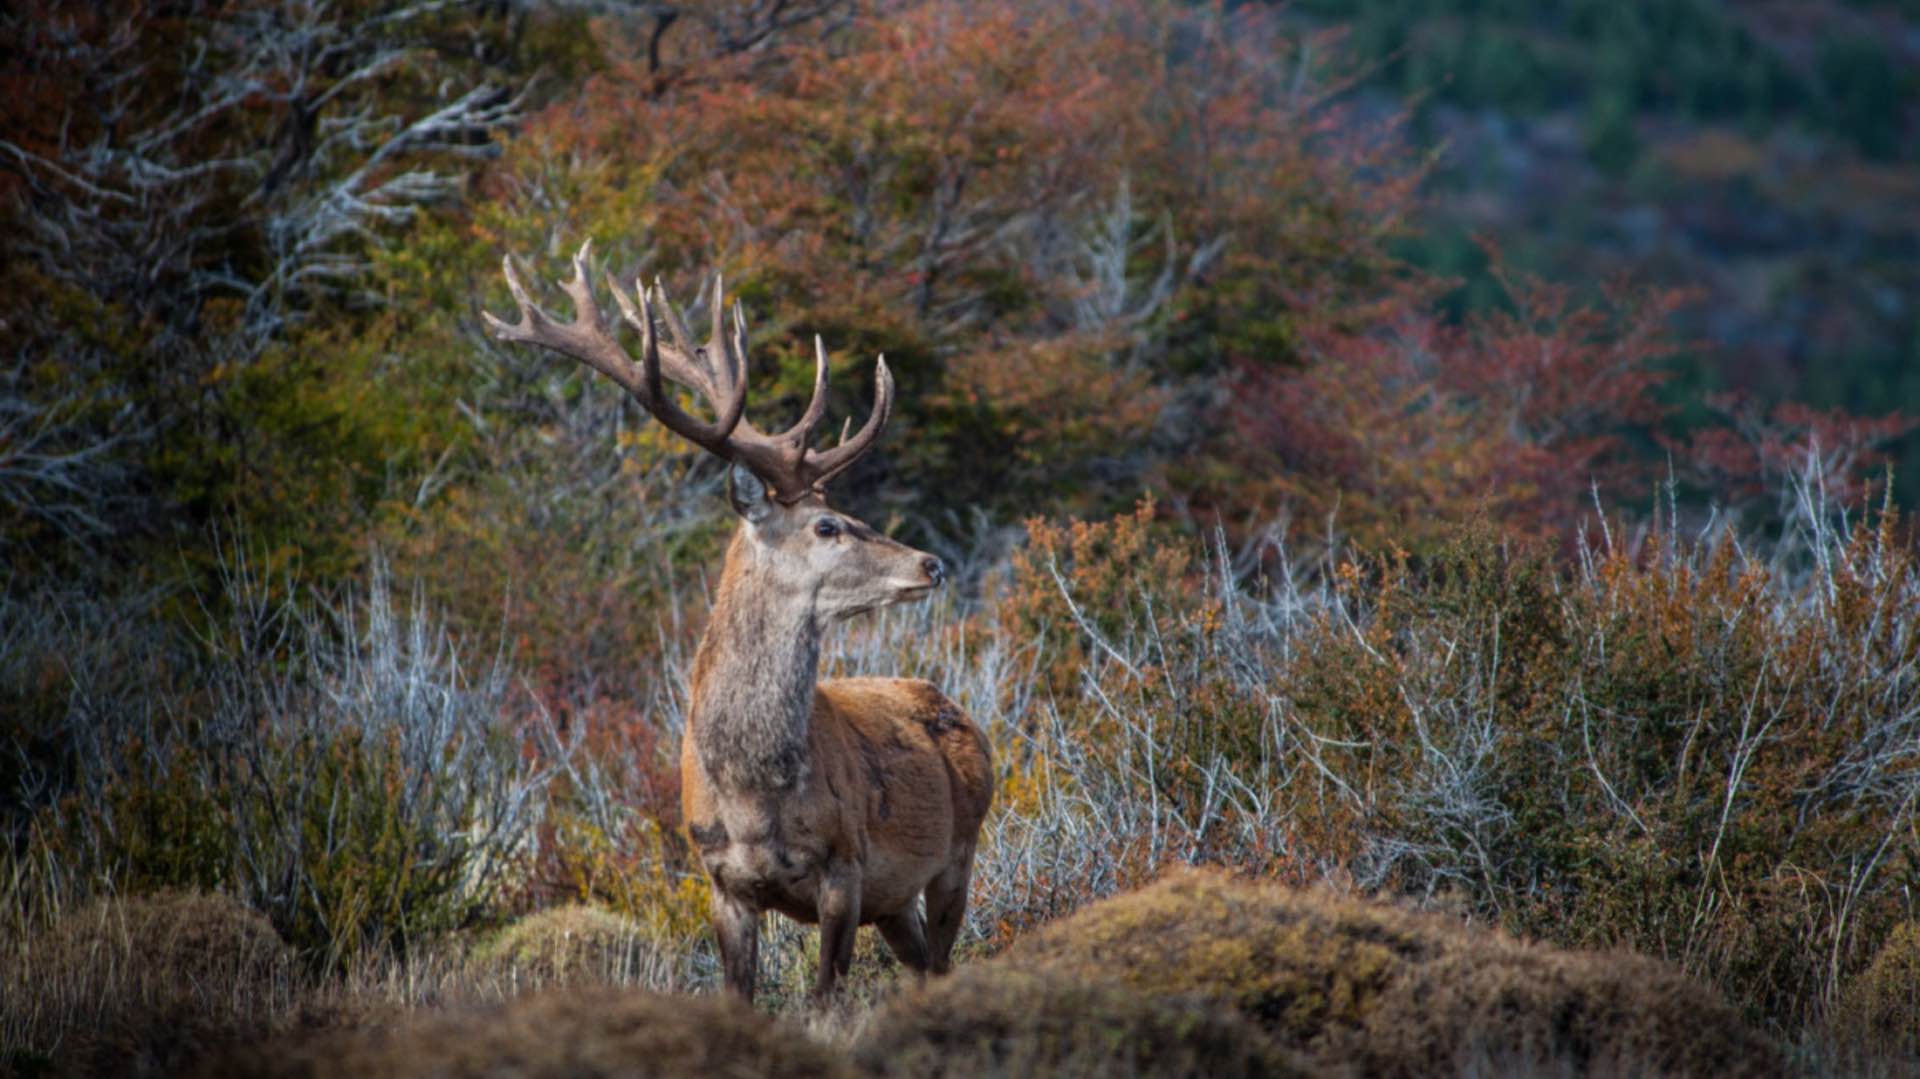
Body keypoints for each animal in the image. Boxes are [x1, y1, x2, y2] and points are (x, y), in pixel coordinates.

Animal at [482, 242, 994, 1002]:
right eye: (827, 524)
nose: (929, 562)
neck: (755, 799)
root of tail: (962, 714)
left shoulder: (845, 865)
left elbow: (825, 997)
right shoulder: (721, 879)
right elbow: (741, 995)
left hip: (961, 848)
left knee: (943, 957)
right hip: (897, 899)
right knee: (926, 965)